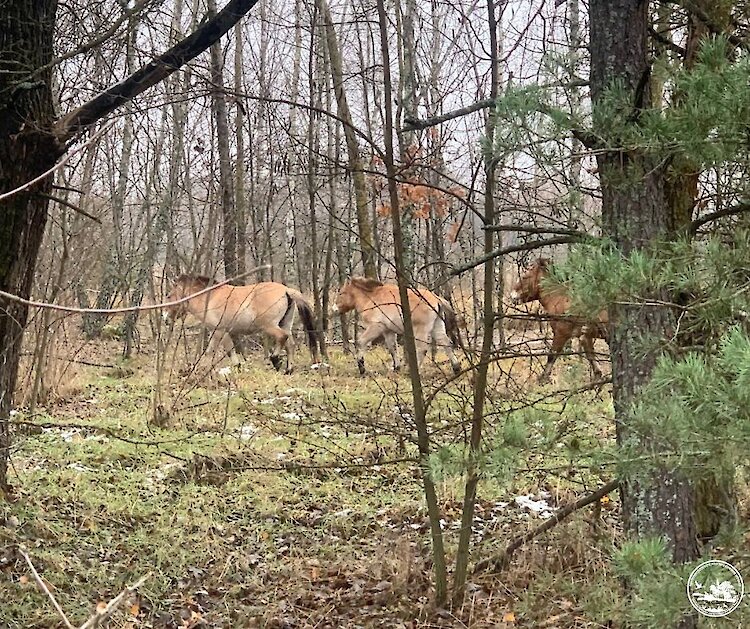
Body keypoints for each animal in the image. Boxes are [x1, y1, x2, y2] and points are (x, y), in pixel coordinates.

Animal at [163, 275, 320, 372]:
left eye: (169, 296)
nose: (165, 318)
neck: (210, 298)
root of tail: (286, 290)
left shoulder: (220, 331)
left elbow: (223, 351)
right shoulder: (220, 332)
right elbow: (214, 351)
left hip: (269, 326)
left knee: (282, 338)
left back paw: (275, 360)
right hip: (285, 324)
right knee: (290, 344)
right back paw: (288, 369)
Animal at [332, 277, 461, 375]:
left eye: (341, 293)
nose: (334, 309)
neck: (372, 297)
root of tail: (436, 298)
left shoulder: (376, 327)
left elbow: (361, 342)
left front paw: (362, 367)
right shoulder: (388, 331)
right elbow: (392, 348)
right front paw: (396, 367)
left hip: (421, 331)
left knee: (422, 349)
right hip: (437, 327)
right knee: (446, 343)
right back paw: (456, 368)